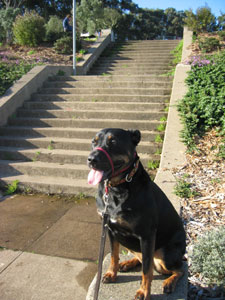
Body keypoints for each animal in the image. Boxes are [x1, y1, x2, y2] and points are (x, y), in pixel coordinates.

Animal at [87, 127, 185, 298]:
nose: (91, 159)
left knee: (180, 269)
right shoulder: (110, 229)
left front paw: (143, 292)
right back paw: (127, 263)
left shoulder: (146, 235)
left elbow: (146, 269)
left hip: (167, 252)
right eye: (94, 141)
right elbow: (114, 255)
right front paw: (111, 273)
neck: (117, 188)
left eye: (113, 142)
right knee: (142, 258)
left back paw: (169, 282)